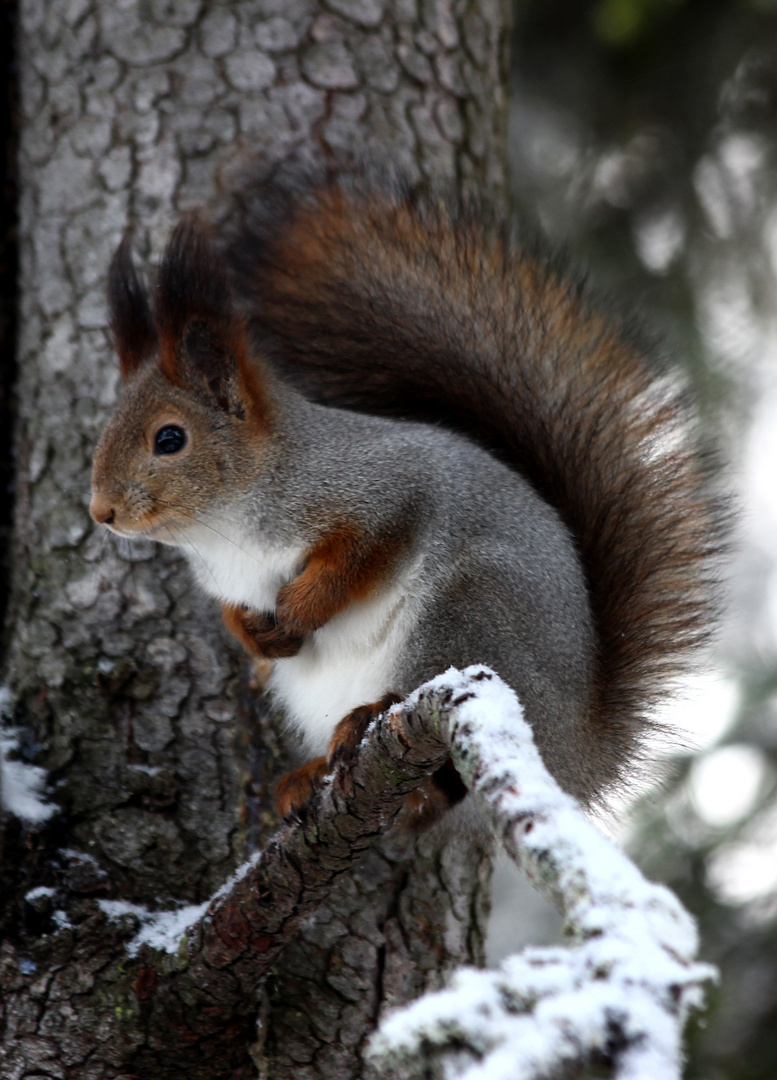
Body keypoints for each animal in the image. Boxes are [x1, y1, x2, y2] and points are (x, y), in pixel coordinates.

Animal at [89, 166, 721, 816]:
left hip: (465, 618)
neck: (228, 523)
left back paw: (369, 720)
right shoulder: (233, 579)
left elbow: (360, 555)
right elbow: (236, 611)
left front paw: (302, 608)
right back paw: (308, 776)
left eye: (169, 439)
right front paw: (256, 636)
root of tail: (577, 756)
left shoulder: (384, 490)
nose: (100, 511)